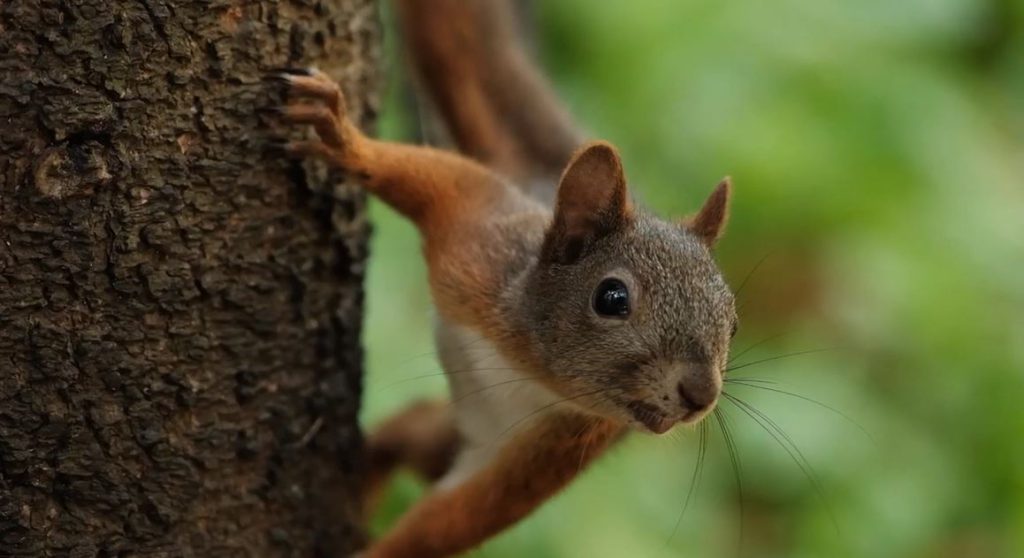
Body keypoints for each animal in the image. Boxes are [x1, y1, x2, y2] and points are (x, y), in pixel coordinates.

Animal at [270, 1, 737, 556]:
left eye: (733, 323)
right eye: (612, 297)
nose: (700, 395)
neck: (531, 366)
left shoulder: (560, 444)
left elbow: (457, 517)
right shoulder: (476, 243)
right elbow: (436, 178)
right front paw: (345, 138)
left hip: (452, 433)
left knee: (414, 433)